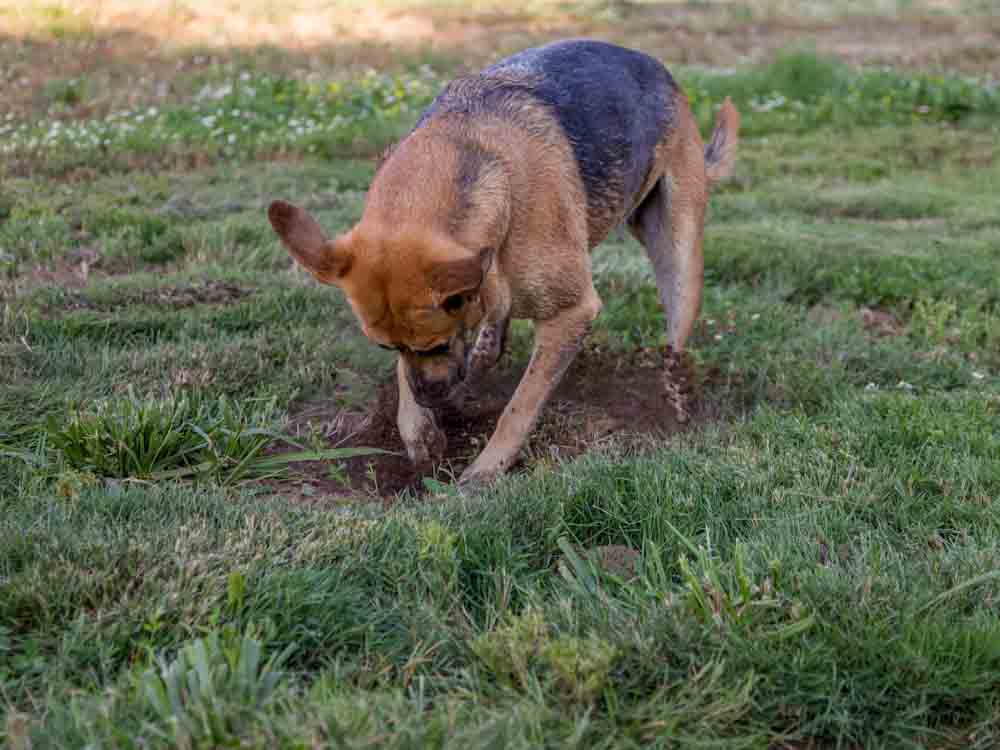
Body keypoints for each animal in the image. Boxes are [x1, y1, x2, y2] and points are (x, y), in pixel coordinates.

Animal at [270, 39, 740, 488]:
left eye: (437, 344)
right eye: (388, 347)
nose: (429, 399)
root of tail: (657, 69)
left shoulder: (572, 314)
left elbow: (519, 406)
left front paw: (485, 469)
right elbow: (409, 374)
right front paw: (416, 429)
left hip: (678, 255)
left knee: (675, 341)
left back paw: (674, 398)